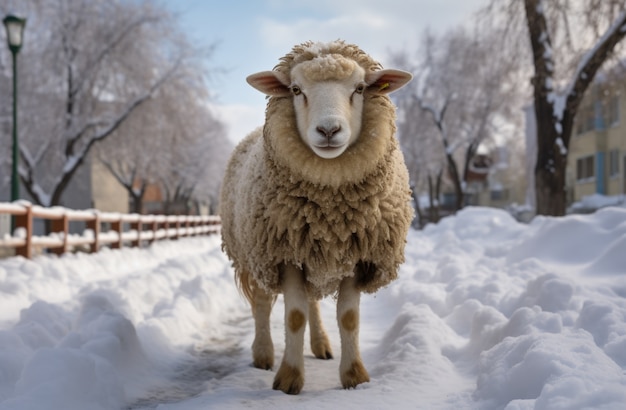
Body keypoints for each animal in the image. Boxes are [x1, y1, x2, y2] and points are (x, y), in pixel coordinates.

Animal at [219, 40, 414, 394]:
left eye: (360, 88)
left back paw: (321, 344)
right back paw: (263, 354)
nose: (328, 130)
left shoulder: (357, 255)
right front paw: (288, 379)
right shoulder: (284, 255)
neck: (330, 215)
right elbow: (293, 316)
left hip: (310, 255)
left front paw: (354, 376)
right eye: (296, 90)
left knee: (311, 303)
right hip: (254, 252)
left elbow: (348, 318)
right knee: (263, 304)